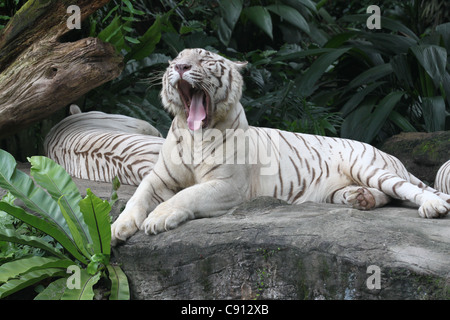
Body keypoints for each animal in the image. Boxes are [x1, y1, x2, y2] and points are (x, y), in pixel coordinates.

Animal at [110, 48, 450, 242]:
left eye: (204, 60)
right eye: (175, 61)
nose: (180, 67)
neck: (196, 134)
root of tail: (392, 156)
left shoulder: (227, 186)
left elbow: (187, 195)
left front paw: (157, 218)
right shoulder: (159, 177)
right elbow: (137, 196)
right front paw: (118, 228)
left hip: (369, 167)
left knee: (409, 190)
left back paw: (433, 207)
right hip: (339, 189)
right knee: (384, 196)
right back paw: (362, 199)